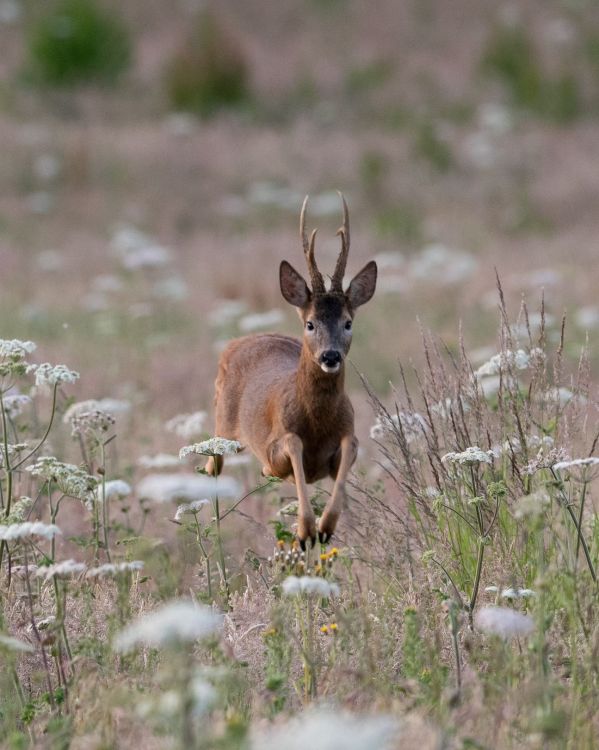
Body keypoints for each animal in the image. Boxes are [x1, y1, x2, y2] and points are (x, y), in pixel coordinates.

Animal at [204, 194, 378, 548]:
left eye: (348, 322)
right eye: (310, 323)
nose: (330, 356)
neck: (317, 421)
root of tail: (243, 340)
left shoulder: (344, 440)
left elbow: (349, 448)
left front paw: (324, 527)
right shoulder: (275, 448)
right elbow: (293, 446)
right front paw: (305, 529)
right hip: (223, 424)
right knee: (212, 462)